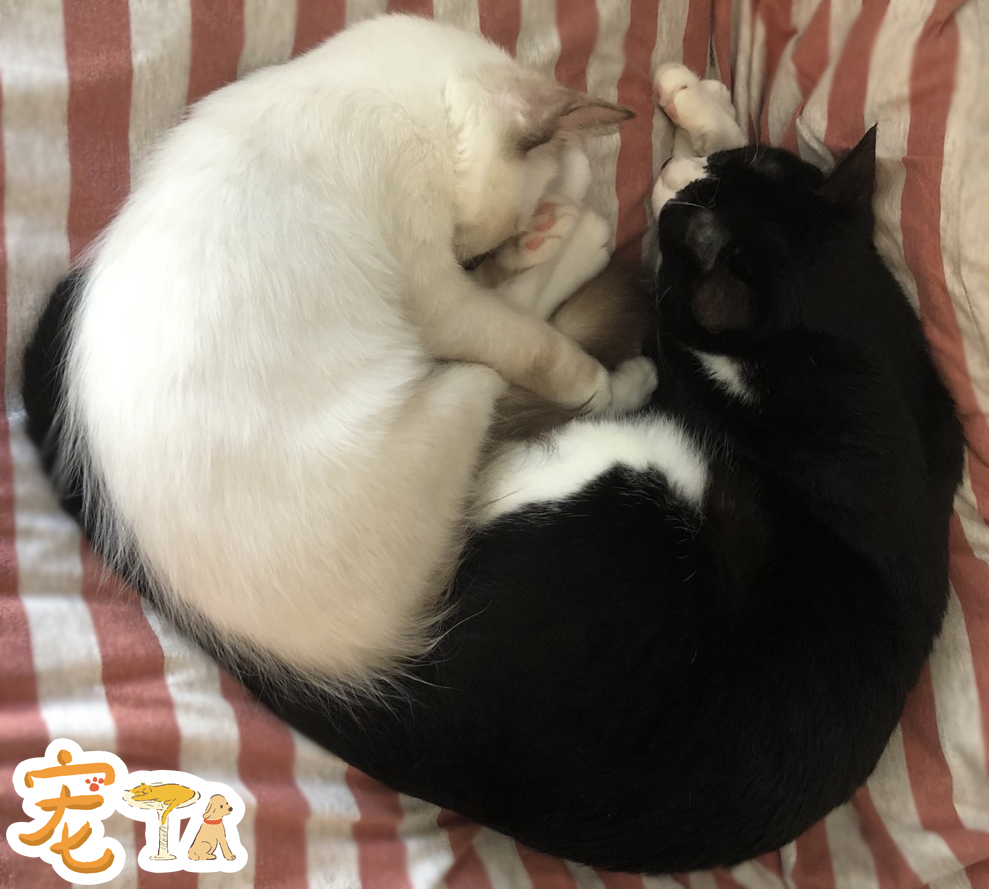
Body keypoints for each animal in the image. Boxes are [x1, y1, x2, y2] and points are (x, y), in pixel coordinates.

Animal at [21, 14, 656, 694]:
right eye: (472, 250)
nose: (477, 259)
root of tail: (366, 660)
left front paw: (547, 220)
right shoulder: (438, 294)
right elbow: (531, 341)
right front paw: (585, 358)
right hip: (457, 382)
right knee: (516, 357)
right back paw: (612, 336)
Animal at [222, 68, 960, 872]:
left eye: (684, 235)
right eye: (739, 171)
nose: (674, 179)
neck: (843, 341)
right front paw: (703, 107)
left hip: (616, 475)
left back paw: (576, 272)